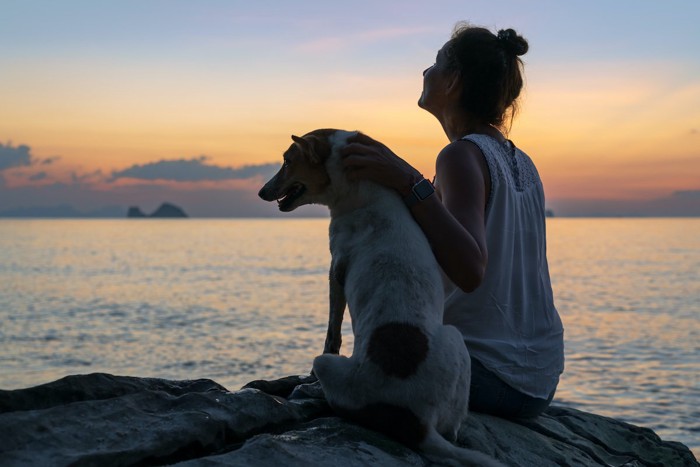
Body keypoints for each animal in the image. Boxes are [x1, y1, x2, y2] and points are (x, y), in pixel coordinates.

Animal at [258, 130, 504, 466]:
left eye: (287, 160)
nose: (261, 192)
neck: (362, 187)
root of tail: (416, 423)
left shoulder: (336, 268)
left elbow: (332, 332)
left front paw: (307, 381)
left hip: (333, 366)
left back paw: (315, 393)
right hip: (455, 344)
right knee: (452, 429)